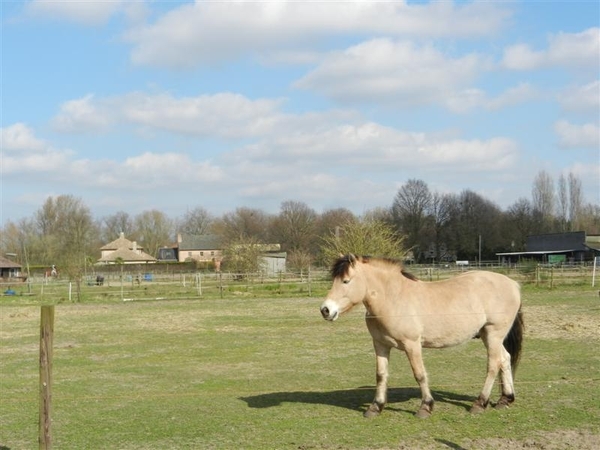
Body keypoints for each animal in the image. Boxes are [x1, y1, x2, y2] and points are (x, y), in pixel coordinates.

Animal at [322, 253, 524, 418]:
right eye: (335, 279)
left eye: (346, 281)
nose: (325, 310)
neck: (394, 298)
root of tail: (513, 284)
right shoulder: (380, 344)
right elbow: (381, 374)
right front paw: (375, 407)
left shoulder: (412, 345)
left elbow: (419, 374)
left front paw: (425, 407)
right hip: (488, 335)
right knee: (505, 359)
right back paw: (505, 399)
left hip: (493, 334)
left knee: (493, 365)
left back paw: (480, 403)